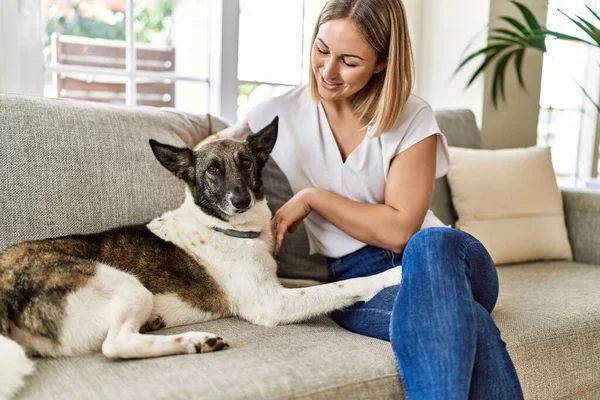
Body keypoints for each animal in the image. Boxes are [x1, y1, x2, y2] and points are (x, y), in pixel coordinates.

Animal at [1, 115, 404, 396]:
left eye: (246, 162)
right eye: (212, 169)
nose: (240, 200)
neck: (224, 228)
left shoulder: (278, 282)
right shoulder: (271, 304)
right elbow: (347, 285)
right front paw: (394, 274)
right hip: (124, 283)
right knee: (115, 346)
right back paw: (193, 341)